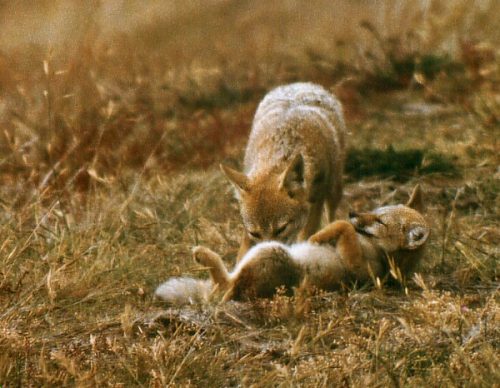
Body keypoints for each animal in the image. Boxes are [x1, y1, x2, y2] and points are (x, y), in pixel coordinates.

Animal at [157, 184, 430, 304]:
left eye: (381, 221)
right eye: (376, 211)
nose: (353, 212)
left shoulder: (362, 270)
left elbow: (343, 227)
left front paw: (316, 238)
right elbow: (341, 225)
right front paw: (323, 233)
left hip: (269, 251)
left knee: (225, 286)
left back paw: (202, 254)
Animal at [221, 83, 346, 262]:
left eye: (281, 229)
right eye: (255, 233)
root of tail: (299, 84)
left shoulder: (316, 199)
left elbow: (306, 235)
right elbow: (242, 252)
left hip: (334, 191)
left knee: (331, 216)